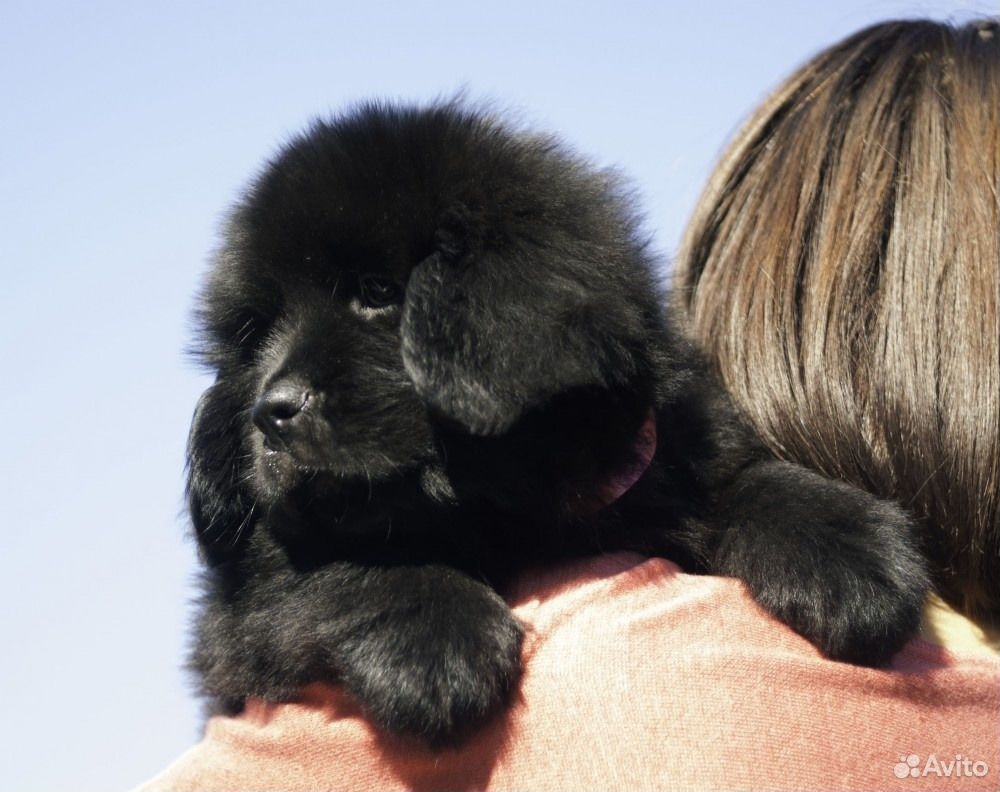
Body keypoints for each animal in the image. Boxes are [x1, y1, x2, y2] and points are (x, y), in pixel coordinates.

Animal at [188, 102, 928, 744]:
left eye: (376, 292)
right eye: (255, 335)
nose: (271, 413)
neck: (509, 511)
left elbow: (744, 480)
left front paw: (851, 548)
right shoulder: (242, 610)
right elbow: (327, 571)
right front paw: (433, 644)